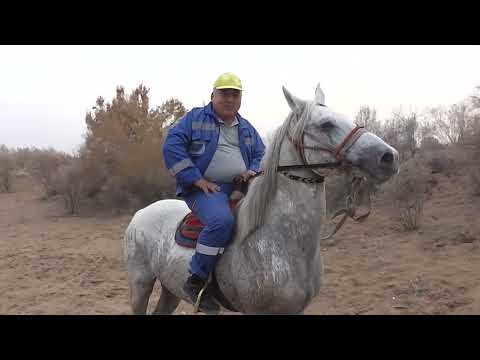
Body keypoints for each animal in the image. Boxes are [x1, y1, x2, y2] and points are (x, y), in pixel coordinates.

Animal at [122, 84, 400, 316]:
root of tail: (140, 214)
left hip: (171, 289)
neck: (282, 239)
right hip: (141, 284)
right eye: (326, 124)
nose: (389, 157)